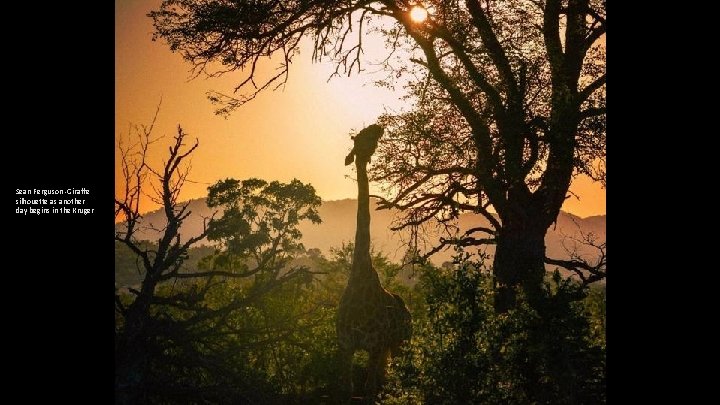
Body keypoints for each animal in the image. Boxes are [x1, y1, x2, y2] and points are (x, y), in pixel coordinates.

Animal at [336, 124, 410, 402]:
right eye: (361, 138)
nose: (378, 127)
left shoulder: (375, 345)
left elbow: (368, 391)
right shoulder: (346, 346)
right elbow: (347, 389)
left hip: (400, 342)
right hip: (388, 348)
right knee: (384, 378)